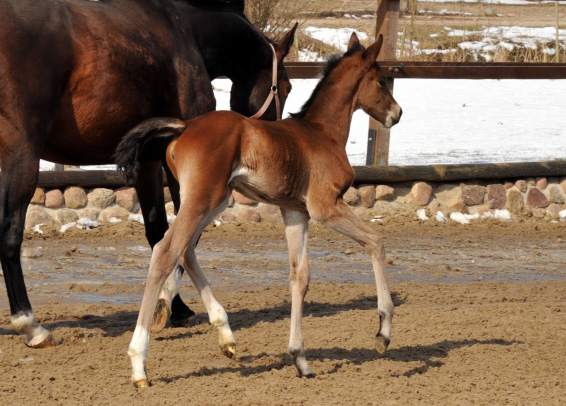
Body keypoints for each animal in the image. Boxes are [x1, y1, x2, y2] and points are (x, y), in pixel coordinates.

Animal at [0, 0, 296, 348]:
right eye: (287, 87)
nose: (273, 143)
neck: (188, 31)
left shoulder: (149, 163)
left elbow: (158, 232)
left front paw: (172, 307)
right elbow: (182, 237)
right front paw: (168, 304)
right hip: (22, 156)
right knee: (9, 233)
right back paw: (31, 326)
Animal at [117, 32, 404, 386]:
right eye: (381, 81)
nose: (397, 113)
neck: (322, 133)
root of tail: (184, 125)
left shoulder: (296, 212)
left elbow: (300, 276)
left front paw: (300, 359)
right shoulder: (325, 207)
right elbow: (376, 241)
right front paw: (383, 331)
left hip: (214, 201)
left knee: (185, 251)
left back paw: (225, 335)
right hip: (202, 200)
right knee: (166, 251)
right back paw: (139, 364)